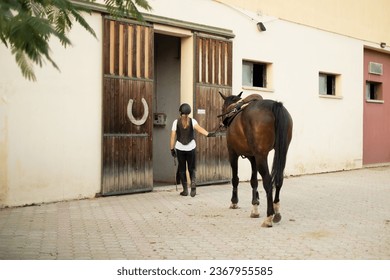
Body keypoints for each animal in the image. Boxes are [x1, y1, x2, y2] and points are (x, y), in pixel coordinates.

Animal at [219, 92, 292, 228]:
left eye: (222, 107)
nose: (222, 125)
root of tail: (275, 105)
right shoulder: (253, 157)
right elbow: (254, 181)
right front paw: (255, 207)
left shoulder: (233, 154)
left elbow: (235, 179)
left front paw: (234, 202)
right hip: (281, 151)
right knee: (279, 179)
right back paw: (277, 211)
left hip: (261, 156)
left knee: (268, 181)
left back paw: (269, 217)